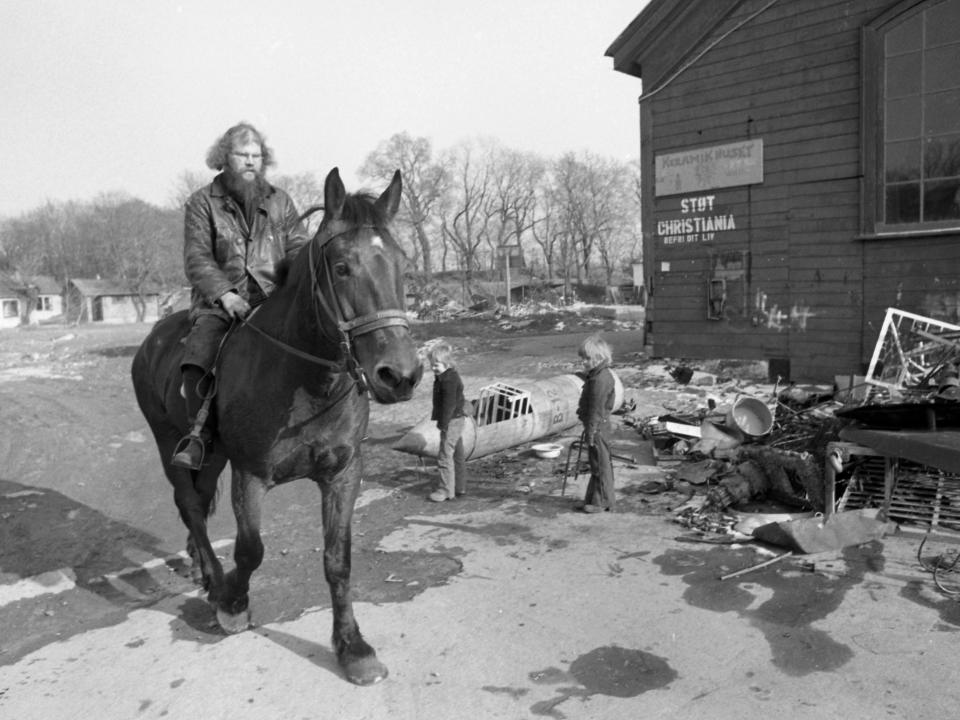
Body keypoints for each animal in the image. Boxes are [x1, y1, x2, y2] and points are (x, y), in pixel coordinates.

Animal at [131, 166, 420, 684]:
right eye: (342, 267)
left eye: (402, 264)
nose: (400, 375)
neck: (304, 380)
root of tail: (152, 339)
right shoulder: (250, 475)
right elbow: (251, 550)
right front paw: (233, 605)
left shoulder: (343, 474)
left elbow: (338, 560)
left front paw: (353, 648)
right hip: (169, 443)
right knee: (190, 504)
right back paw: (214, 581)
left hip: (212, 455)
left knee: (197, 503)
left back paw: (204, 571)